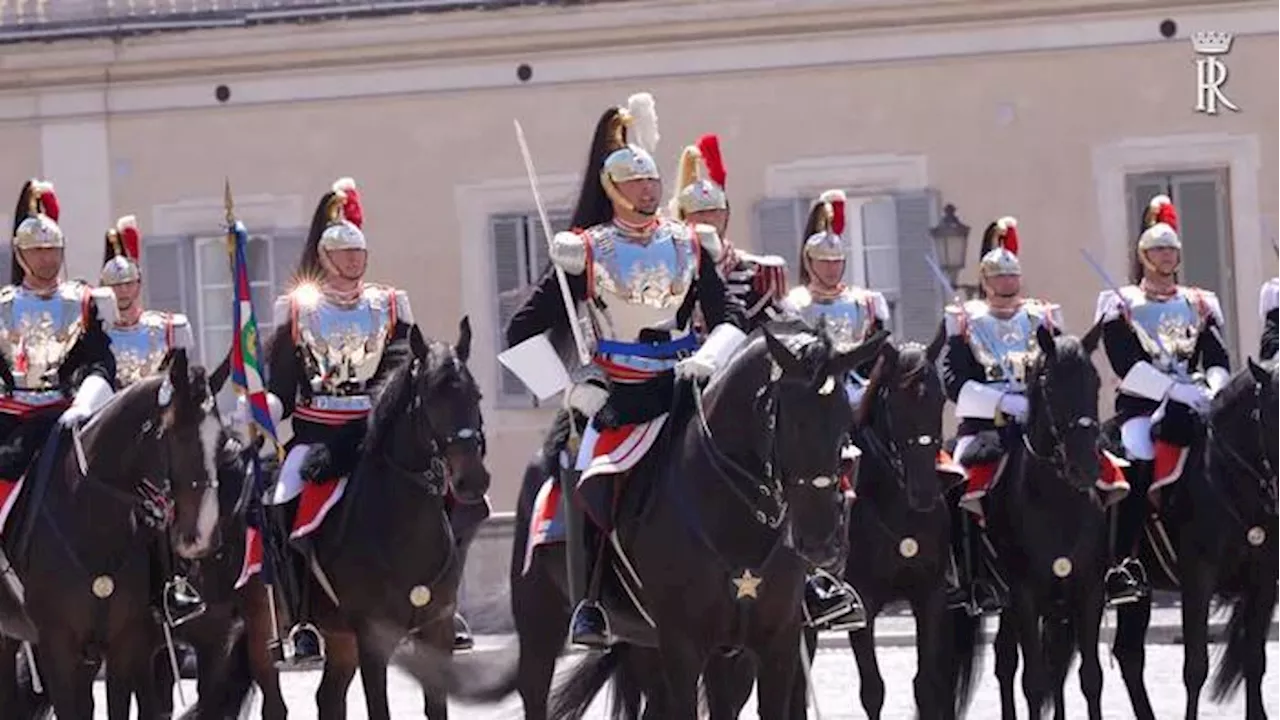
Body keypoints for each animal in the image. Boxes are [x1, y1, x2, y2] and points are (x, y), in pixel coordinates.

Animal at [0, 345, 226, 712]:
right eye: (173, 434)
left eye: (221, 440)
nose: (202, 536)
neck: (91, 520)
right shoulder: (57, 647)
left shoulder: (122, 646)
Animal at [519, 320, 880, 717]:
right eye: (792, 420)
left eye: (846, 418)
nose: (822, 540)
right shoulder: (683, 645)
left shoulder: (776, 643)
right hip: (538, 623)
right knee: (533, 689)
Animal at [1105, 353, 1280, 717]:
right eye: (1276, 409)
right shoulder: (1198, 578)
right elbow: (1196, 667)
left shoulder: (1264, 580)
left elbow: (1254, 661)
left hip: (1138, 594)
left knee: (1128, 654)